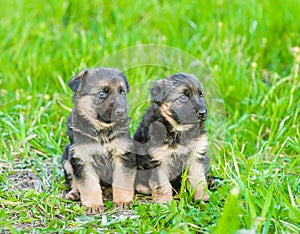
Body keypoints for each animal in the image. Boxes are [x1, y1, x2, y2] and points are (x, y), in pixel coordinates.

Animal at [61, 67, 136, 212]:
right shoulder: (83, 158)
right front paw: (93, 205)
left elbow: (122, 180)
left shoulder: (122, 155)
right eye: (102, 93)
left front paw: (122, 200)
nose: (121, 112)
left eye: (122, 92)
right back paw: (74, 193)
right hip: (67, 160)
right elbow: (89, 184)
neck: (102, 130)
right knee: (73, 181)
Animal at [135, 73, 210, 203]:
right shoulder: (159, 160)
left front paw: (202, 199)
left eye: (201, 95)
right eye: (183, 97)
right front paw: (165, 202)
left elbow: (199, 180)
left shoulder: (196, 156)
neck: (179, 129)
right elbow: (163, 185)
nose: (202, 112)